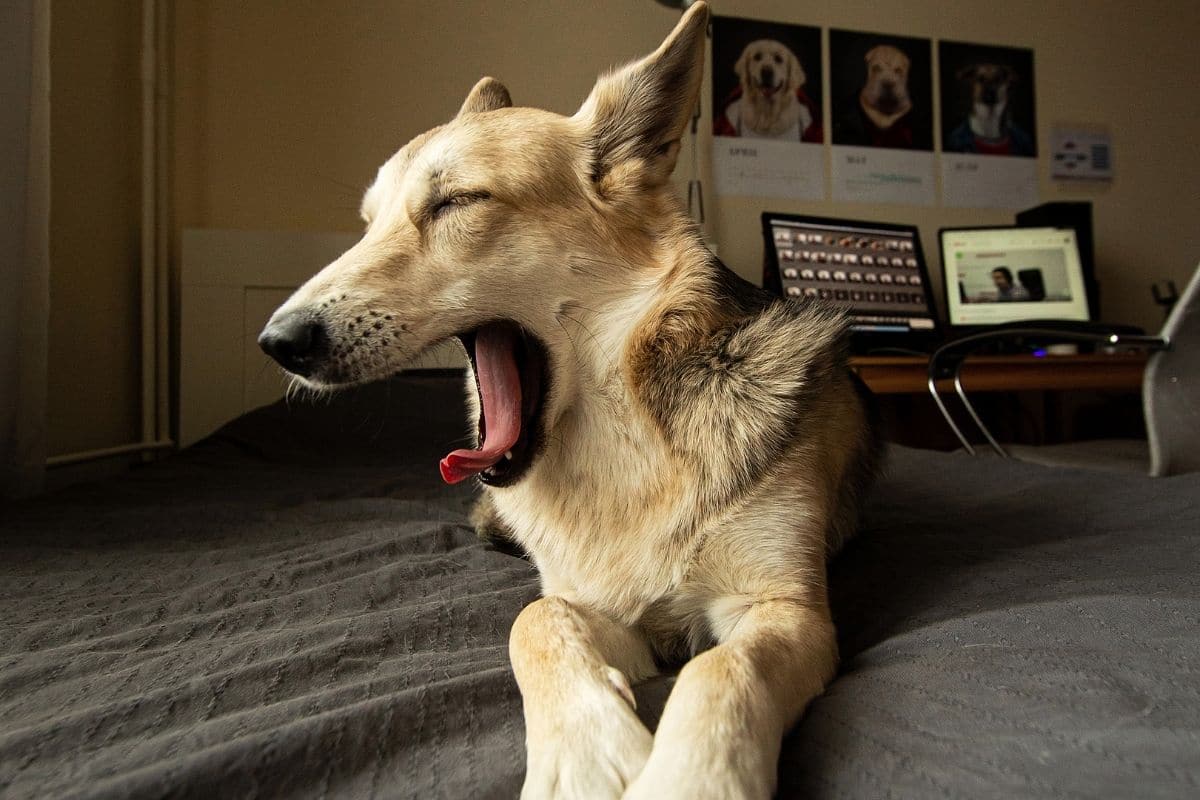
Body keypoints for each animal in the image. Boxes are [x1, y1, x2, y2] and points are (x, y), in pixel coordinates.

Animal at [260, 3, 883, 796]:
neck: (623, 444)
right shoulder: (595, 605)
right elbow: (535, 620)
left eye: (458, 201)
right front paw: (586, 752)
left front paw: (691, 775)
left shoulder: (784, 610)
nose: (277, 342)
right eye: (369, 225)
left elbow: (721, 668)